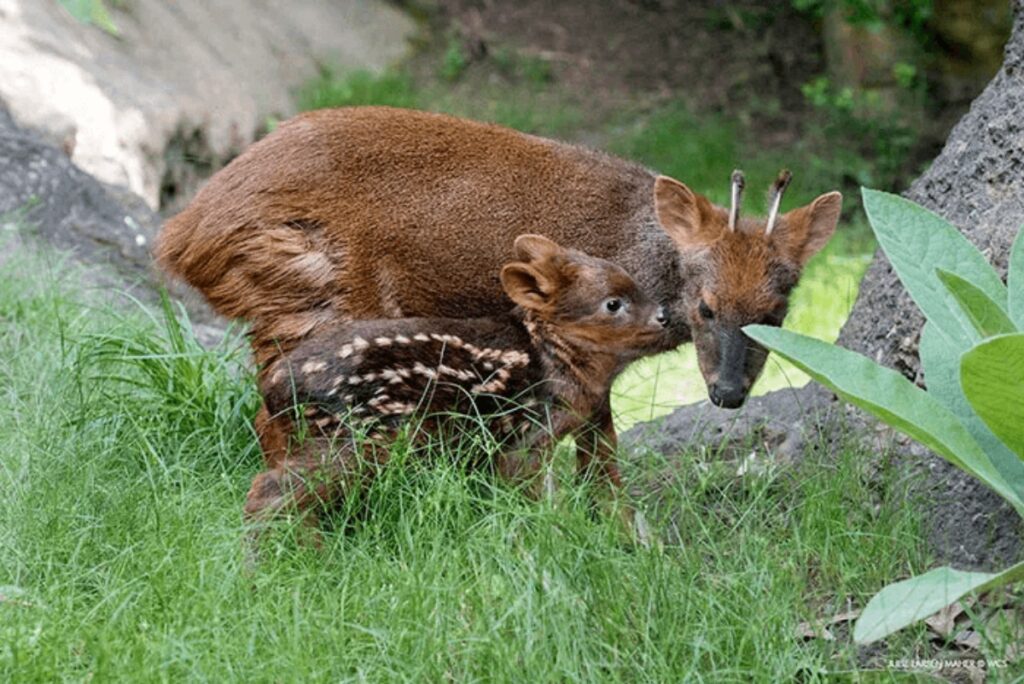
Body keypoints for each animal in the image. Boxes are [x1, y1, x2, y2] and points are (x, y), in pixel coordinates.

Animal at [244, 236, 667, 544]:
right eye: (613, 304)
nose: (664, 315)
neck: (553, 357)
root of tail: (276, 389)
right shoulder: (526, 437)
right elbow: (528, 498)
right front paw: (544, 539)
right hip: (356, 437)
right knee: (271, 489)